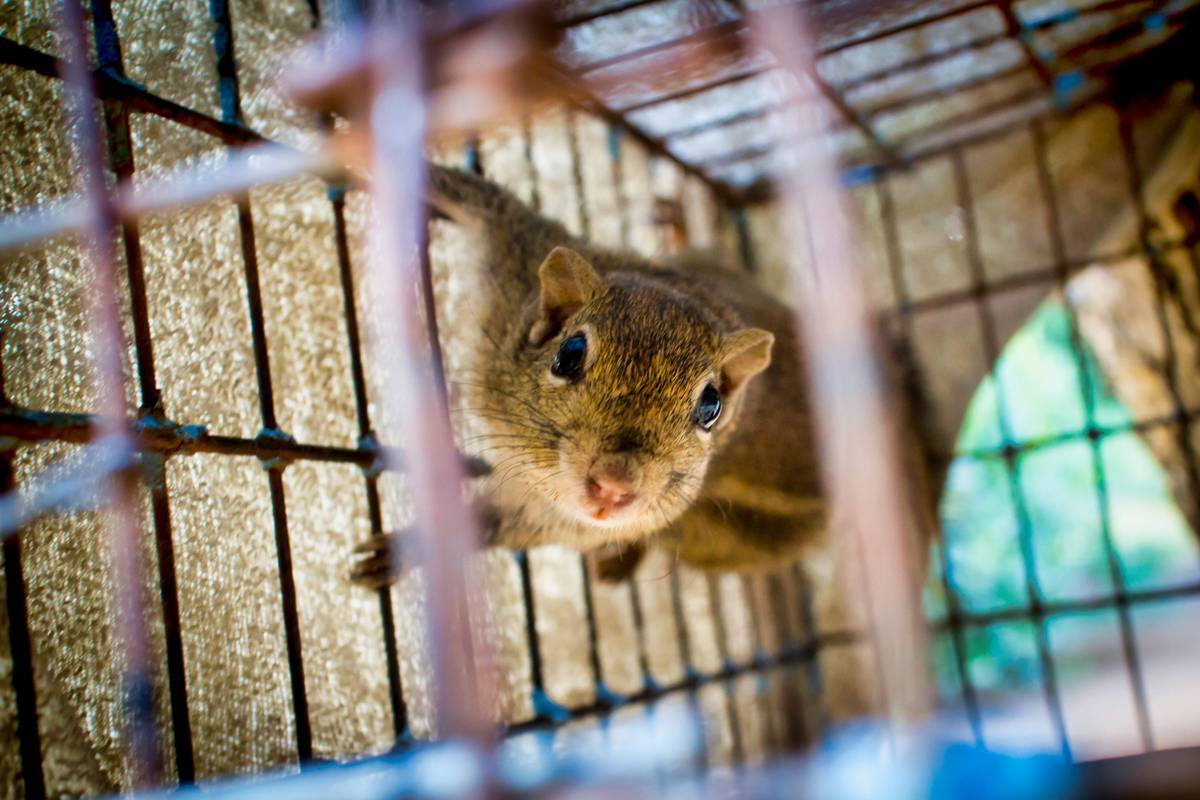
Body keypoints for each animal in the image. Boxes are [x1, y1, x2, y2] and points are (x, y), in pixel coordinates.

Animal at [350, 164, 844, 587]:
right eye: (569, 354)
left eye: (711, 407)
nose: (613, 487)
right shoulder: (519, 251)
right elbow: (476, 198)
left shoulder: (567, 521)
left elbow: (488, 526)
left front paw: (403, 552)